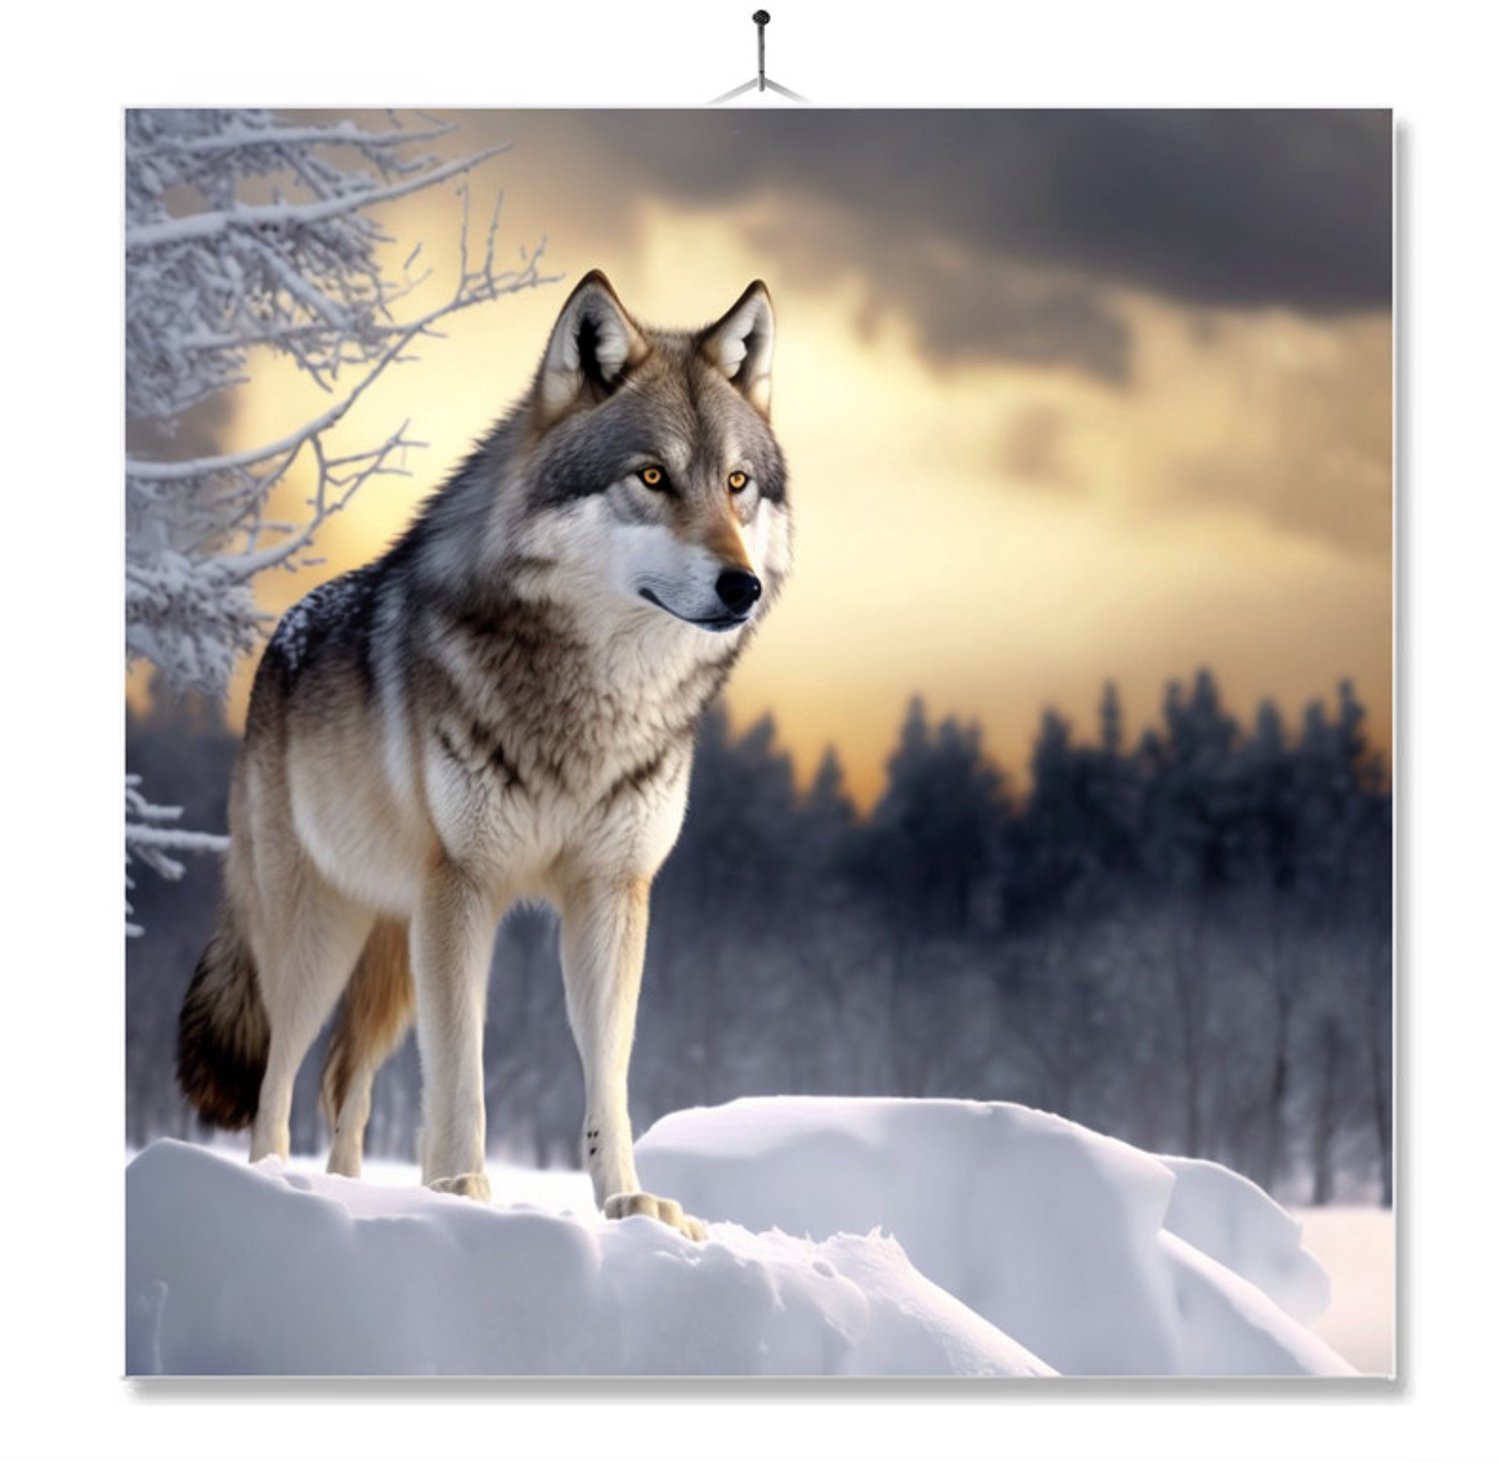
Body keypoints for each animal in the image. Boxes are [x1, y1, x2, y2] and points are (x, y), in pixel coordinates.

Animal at [176, 271, 789, 1241]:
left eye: (738, 484)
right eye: (652, 476)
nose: (743, 587)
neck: (592, 702)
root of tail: (279, 637)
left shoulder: (611, 894)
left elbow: (608, 1077)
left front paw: (628, 1201)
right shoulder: (464, 889)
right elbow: (461, 1070)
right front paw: (462, 1190)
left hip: (391, 956)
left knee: (344, 1087)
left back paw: (353, 1194)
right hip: (319, 937)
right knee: (279, 1081)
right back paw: (274, 1191)